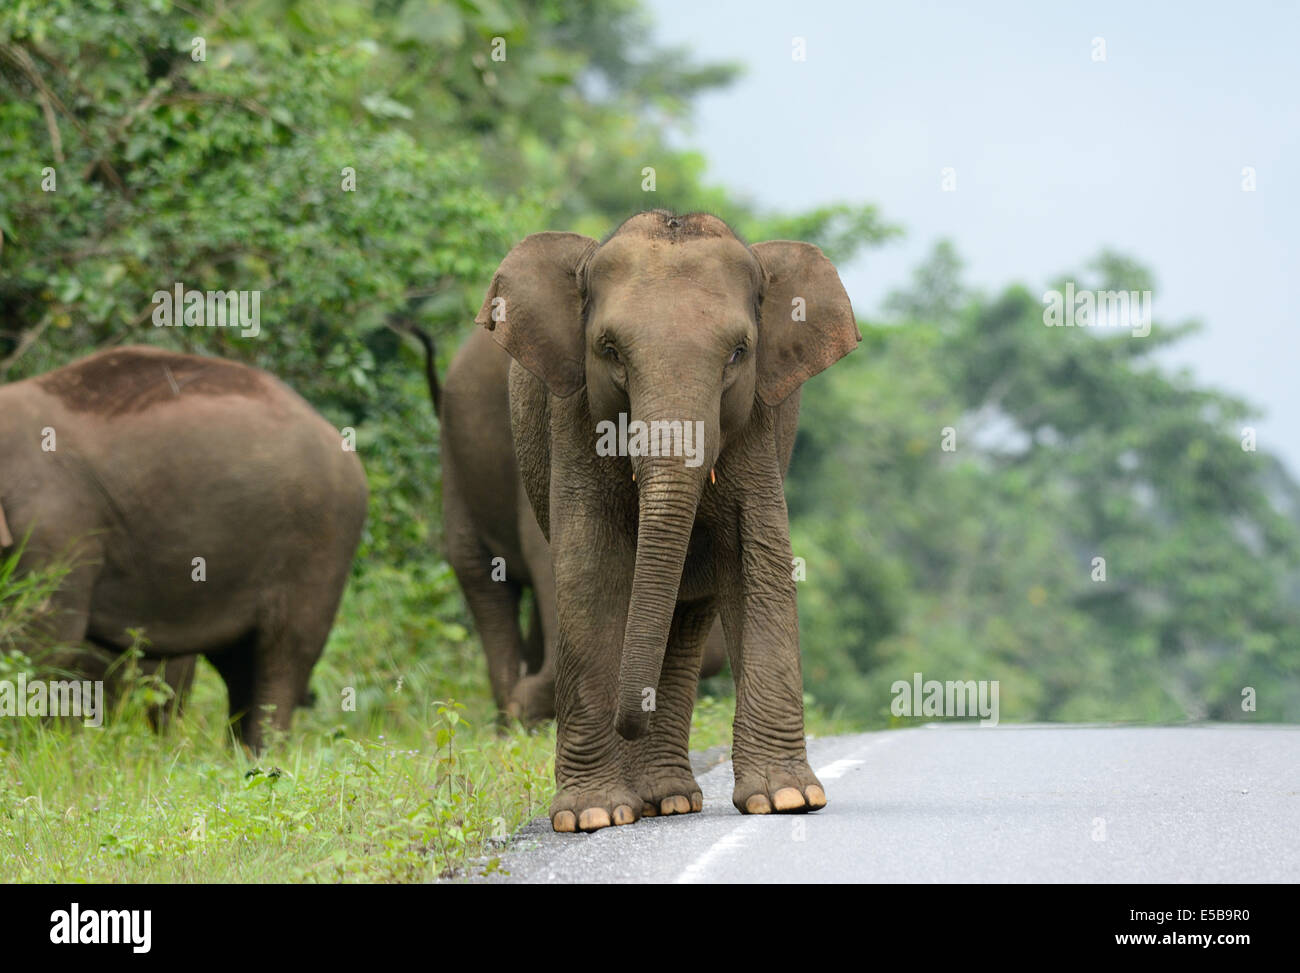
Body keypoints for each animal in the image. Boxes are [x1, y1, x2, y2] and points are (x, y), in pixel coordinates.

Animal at [0, 346, 367, 749]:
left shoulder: (53, 526)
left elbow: (42, 637)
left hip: (322, 541)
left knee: (283, 656)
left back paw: (264, 755)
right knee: (240, 667)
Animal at [475, 210, 861, 832]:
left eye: (739, 352)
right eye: (609, 350)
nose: (626, 719)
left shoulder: (759, 423)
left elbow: (759, 561)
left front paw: (788, 800)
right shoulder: (573, 413)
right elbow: (590, 568)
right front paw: (592, 816)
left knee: (687, 619)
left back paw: (669, 800)